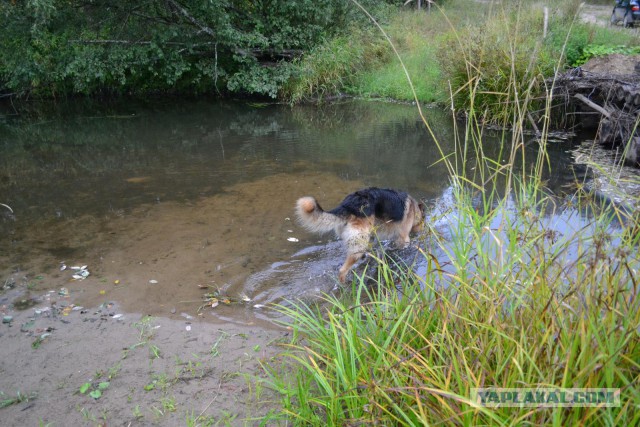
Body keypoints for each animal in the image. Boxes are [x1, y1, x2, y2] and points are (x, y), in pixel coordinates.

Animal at [296, 188, 424, 284]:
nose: (421, 232)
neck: (414, 209)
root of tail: (347, 205)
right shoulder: (404, 238)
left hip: (362, 240)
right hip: (359, 245)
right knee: (342, 270)